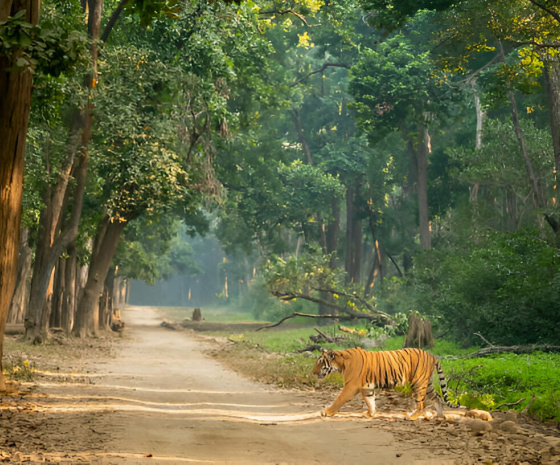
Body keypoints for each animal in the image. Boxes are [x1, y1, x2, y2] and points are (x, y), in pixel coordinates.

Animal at [310, 344, 460, 416]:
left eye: (320, 362)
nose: (313, 373)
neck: (341, 364)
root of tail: (433, 355)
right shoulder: (366, 387)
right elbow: (370, 401)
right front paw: (370, 414)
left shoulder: (351, 386)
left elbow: (339, 399)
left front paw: (327, 412)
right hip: (427, 384)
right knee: (437, 397)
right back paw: (439, 417)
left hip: (418, 383)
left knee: (422, 403)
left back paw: (412, 416)